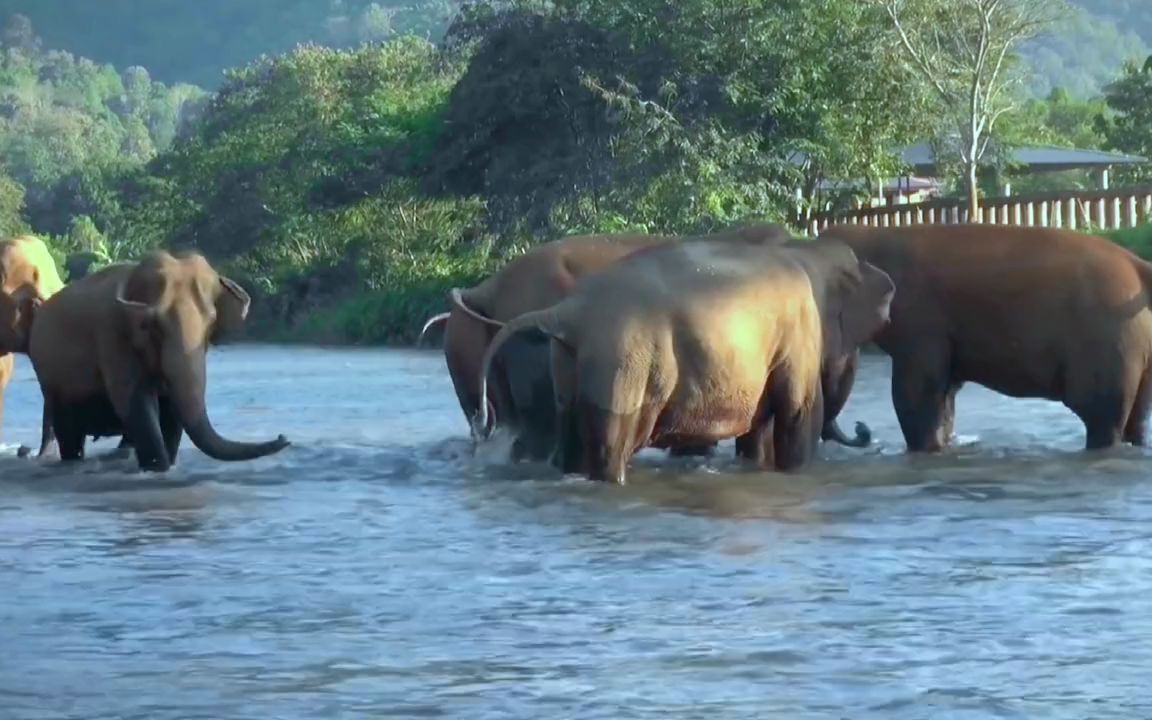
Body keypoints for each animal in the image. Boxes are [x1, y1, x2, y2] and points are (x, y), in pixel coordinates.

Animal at [26, 248, 290, 472]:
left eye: (210, 323)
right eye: (153, 326)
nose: (283, 437)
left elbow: (171, 410)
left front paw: (166, 467)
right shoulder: (112, 336)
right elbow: (137, 403)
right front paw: (156, 469)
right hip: (52, 382)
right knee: (69, 435)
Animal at [815, 222, 1152, 451]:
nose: (862, 428)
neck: (874, 233)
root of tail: (1139, 266)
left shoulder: (921, 324)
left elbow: (916, 394)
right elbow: (945, 395)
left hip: (1109, 343)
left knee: (1102, 420)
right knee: (1135, 418)